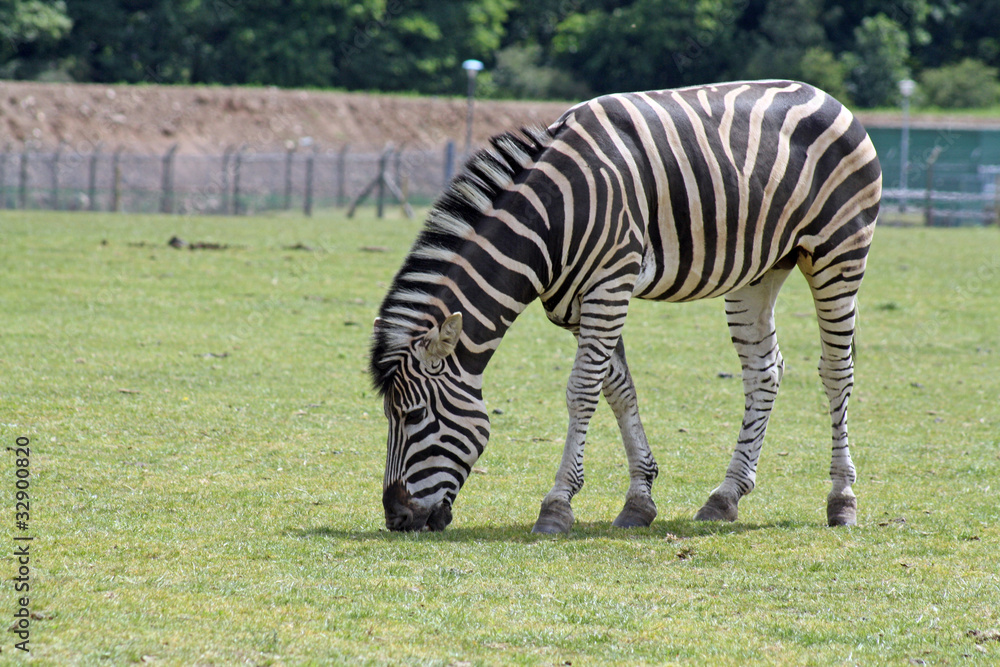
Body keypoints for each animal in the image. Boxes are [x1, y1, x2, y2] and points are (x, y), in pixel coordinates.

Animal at [372, 81, 880, 536]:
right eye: (390, 417)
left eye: (413, 416)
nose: (396, 519)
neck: (551, 220)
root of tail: (825, 96)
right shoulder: (576, 304)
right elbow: (618, 389)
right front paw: (639, 501)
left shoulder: (610, 283)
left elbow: (582, 391)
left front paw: (557, 506)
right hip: (760, 270)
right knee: (764, 371)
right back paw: (725, 496)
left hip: (838, 255)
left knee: (837, 371)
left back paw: (842, 500)